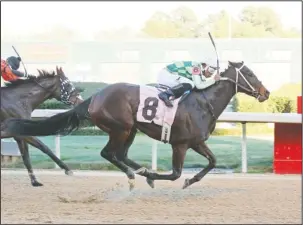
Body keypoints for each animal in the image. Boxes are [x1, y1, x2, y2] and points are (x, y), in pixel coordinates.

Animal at [2, 61, 270, 190]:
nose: (266, 92)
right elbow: (175, 174)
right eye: (250, 74)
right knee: (108, 153)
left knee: (119, 154)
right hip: (121, 127)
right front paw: (158, 177)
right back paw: (135, 175)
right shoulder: (181, 144)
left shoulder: (196, 142)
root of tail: (95, 97)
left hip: (130, 129)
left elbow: (212, 162)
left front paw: (187, 181)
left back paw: (140, 172)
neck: (204, 102)